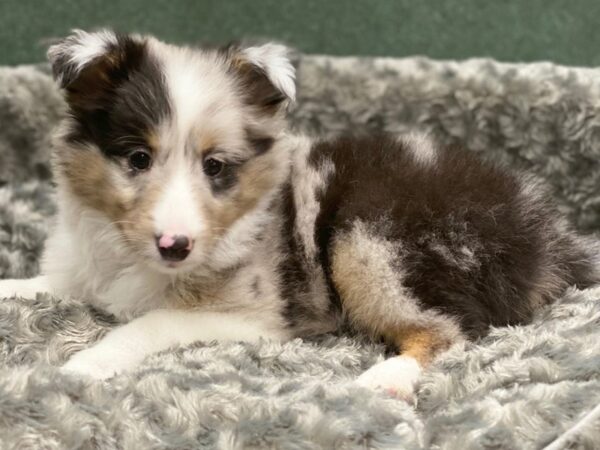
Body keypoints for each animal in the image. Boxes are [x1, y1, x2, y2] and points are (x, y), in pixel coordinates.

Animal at [0, 29, 596, 400]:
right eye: (138, 159)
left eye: (215, 166)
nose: (175, 246)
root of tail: (542, 233)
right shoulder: (81, 273)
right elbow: (35, 285)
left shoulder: (254, 316)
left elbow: (149, 323)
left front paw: (82, 367)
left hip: (370, 240)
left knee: (450, 332)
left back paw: (384, 380)